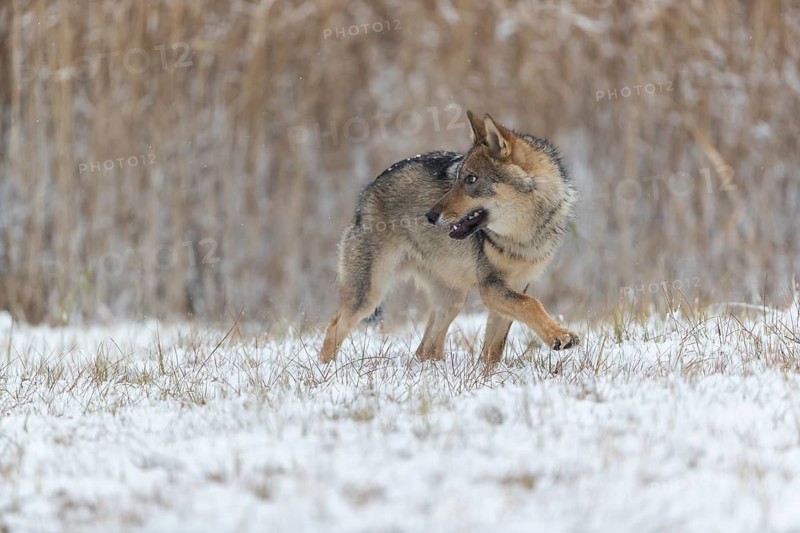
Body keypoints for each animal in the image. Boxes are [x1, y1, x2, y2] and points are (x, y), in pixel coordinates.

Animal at [320, 110, 579, 365]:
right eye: (457, 179)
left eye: (471, 179)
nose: (429, 216)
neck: (522, 236)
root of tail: (368, 189)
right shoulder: (490, 287)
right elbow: (532, 304)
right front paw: (560, 336)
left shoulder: (515, 286)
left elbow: (494, 349)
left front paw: (488, 374)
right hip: (370, 294)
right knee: (334, 326)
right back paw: (328, 368)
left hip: (451, 300)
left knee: (425, 349)